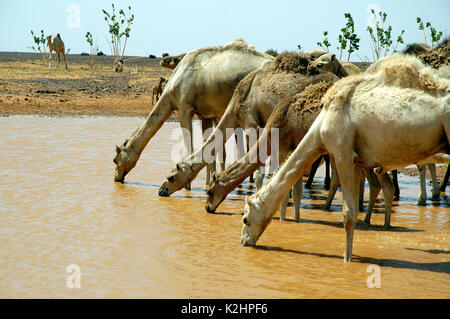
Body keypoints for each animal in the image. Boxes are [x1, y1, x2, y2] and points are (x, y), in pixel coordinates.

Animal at [114, 39, 272, 185]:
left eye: (115, 160)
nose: (116, 178)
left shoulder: (184, 108)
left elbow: (188, 149)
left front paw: (187, 186)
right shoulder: (205, 114)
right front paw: (207, 183)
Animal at [241, 55, 448, 264]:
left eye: (245, 218)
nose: (244, 241)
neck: (321, 125)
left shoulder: (343, 154)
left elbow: (348, 212)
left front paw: (347, 260)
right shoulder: (356, 161)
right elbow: (355, 207)